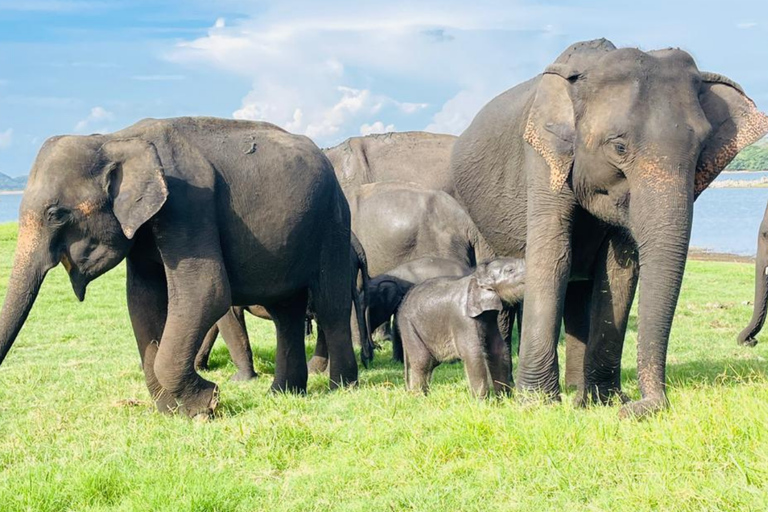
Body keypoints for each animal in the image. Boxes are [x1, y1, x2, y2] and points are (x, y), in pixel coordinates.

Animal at [0, 116, 359, 418]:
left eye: (56, 214)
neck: (116, 139)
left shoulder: (187, 204)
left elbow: (207, 291)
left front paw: (206, 405)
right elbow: (142, 301)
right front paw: (174, 411)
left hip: (333, 222)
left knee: (331, 305)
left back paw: (341, 388)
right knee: (286, 313)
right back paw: (282, 394)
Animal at [397, 257, 525, 397]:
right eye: (510, 270)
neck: (477, 276)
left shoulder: (489, 317)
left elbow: (498, 349)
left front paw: (504, 398)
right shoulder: (462, 319)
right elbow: (472, 353)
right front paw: (481, 401)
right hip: (409, 326)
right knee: (422, 361)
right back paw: (419, 397)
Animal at [450, 38, 768, 417]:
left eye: (701, 148)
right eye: (618, 146)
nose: (642, 405)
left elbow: (619, 270)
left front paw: (605, 401)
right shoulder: (541, 158)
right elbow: (552, 257)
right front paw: (537, 405)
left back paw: (577, 393)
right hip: (478, 217)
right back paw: (507, 393)